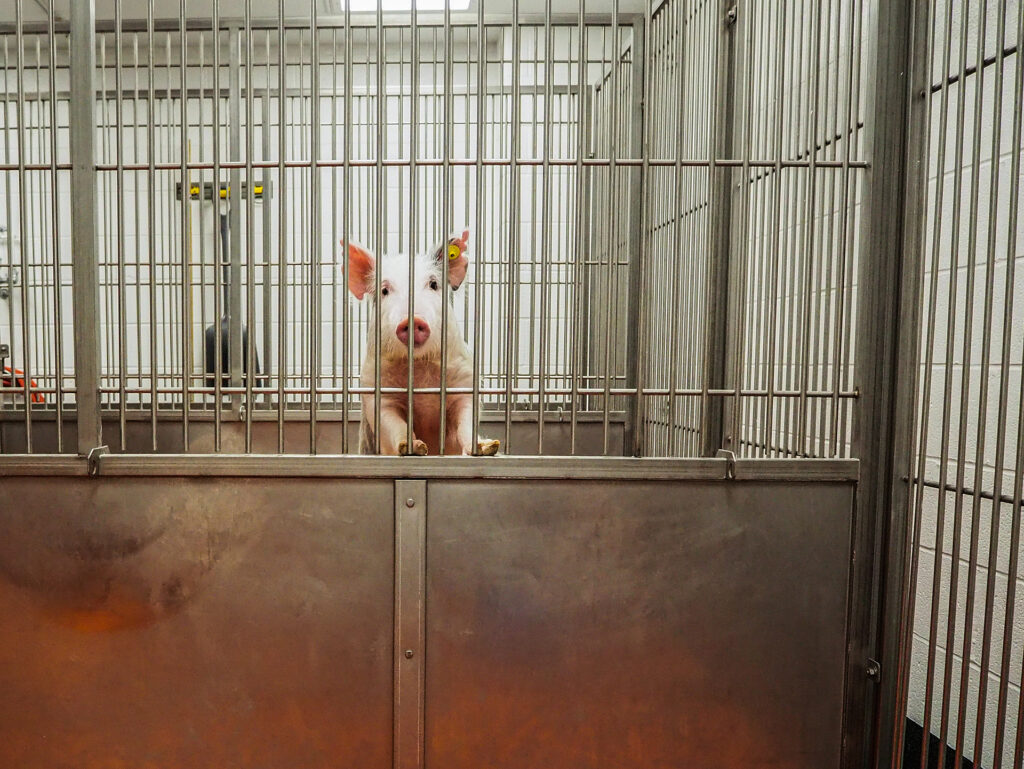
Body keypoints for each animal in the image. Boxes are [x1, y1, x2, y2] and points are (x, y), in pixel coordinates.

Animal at [346, 228, 501, 456]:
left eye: (433, 284)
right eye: (384, 290)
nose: (412, 320)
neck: (420, 375)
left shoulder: (465, 381)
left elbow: (466, 423)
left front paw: (486, 447)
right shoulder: (377, 391)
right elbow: (396, 425)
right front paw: (414, 448)